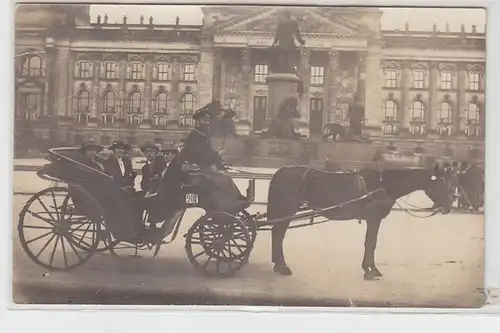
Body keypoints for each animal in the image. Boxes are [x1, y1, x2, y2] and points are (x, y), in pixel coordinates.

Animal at [268, 163, 456, 278]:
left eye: (449, 182)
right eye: (440, 183)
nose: (448, 206)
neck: (382, 186)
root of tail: (283, 170)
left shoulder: (373, 220)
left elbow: (370, 243)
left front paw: (370, 268)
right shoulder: (374, 219)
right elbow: (370, 243)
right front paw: (370, 270)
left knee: (277, 234)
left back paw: (278, 265)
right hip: (288, 210)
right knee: (278, 234)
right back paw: (282, 266)